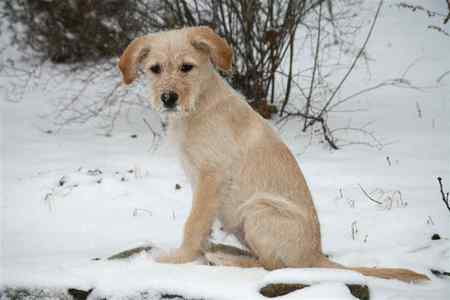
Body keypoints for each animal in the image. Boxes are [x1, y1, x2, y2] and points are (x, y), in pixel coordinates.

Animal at [118, 27, 428, 282]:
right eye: (155, 69)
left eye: (186, 67)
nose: (168, 98)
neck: (198, 105)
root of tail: (315, 256)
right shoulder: (201, 183)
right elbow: (201, 223)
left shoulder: (211, 176)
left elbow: (193, 223)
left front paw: (178, 259)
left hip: (259, 208)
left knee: (272, 266)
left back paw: (226, 260)